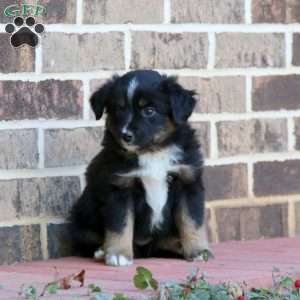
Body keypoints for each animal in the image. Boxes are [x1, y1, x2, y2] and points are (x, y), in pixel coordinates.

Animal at [69, 71, 209, 268]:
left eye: (149, 111)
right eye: (119, 109)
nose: (125, 136)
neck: (152, 151)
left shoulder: (187, 182)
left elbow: (192, 220)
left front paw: (198, 251)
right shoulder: (119, 187)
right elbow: (120, 224)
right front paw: (119, 254)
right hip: (81, 217)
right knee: (86, 240)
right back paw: (102, 251)